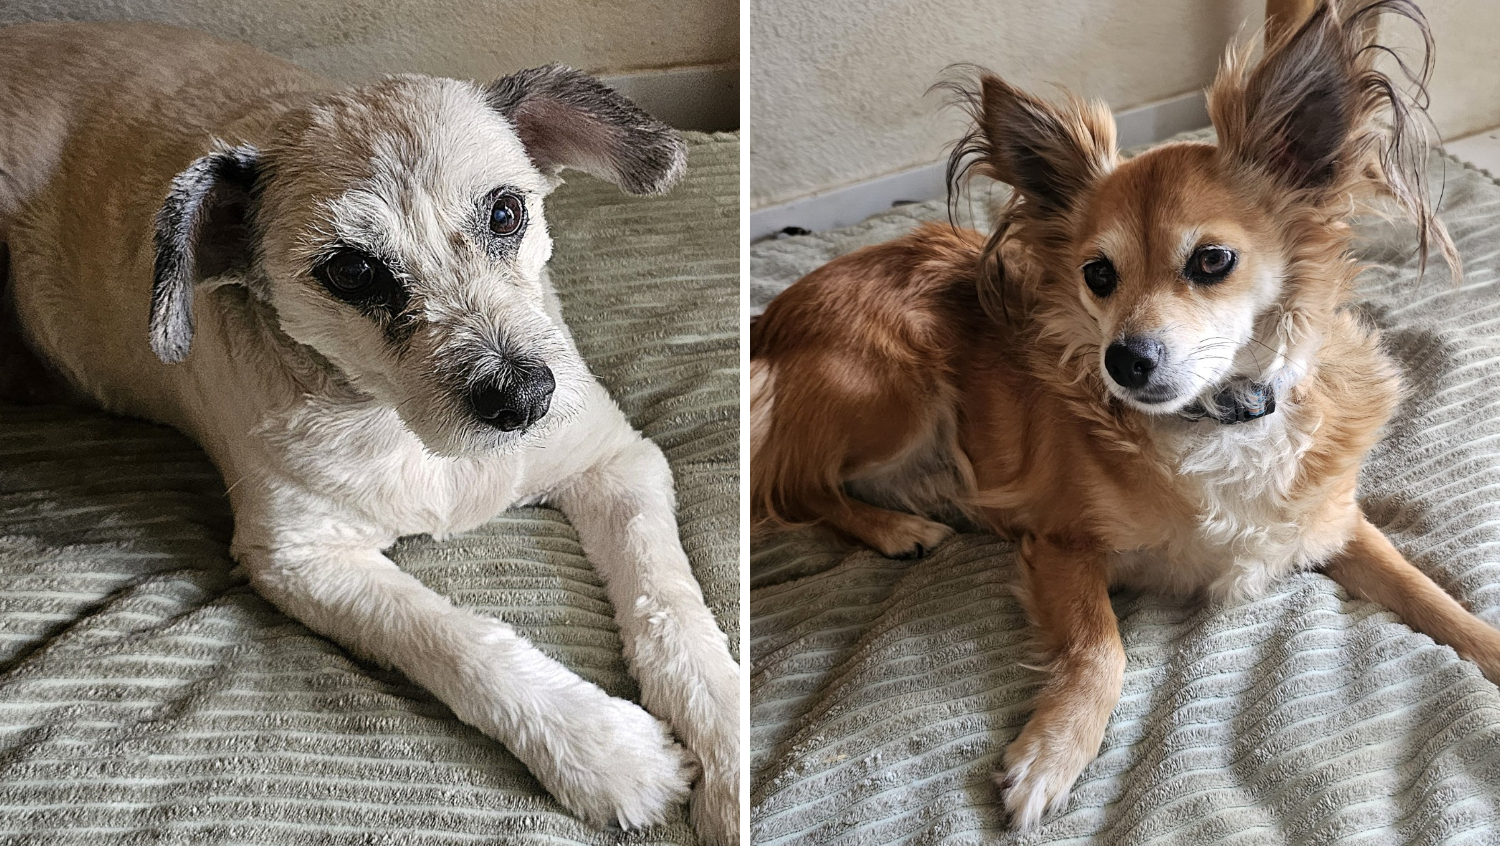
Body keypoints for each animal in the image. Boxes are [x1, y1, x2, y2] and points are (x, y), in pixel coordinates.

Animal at [0, 21, 741, 846]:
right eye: (352, 271)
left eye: (506, 213)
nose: (524, 397)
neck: (406, 428)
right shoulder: (301, 558)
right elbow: (449, 637)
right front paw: (601, 747)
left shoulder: (614, 461)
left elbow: (670, 605)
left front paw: (731, 750)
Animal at [750, 0, 1500, 834]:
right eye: (1097, 275)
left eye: (1211, 261)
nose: (1124, 360)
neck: (1222, 420)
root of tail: (770, 321)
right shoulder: (1060, 544)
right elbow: (1101, 647)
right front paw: (1053, 752)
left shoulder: (1336, 524)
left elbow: (1433, 594)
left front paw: (1486, 646)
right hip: (899, 388)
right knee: (790, 484)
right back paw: (895, 527)